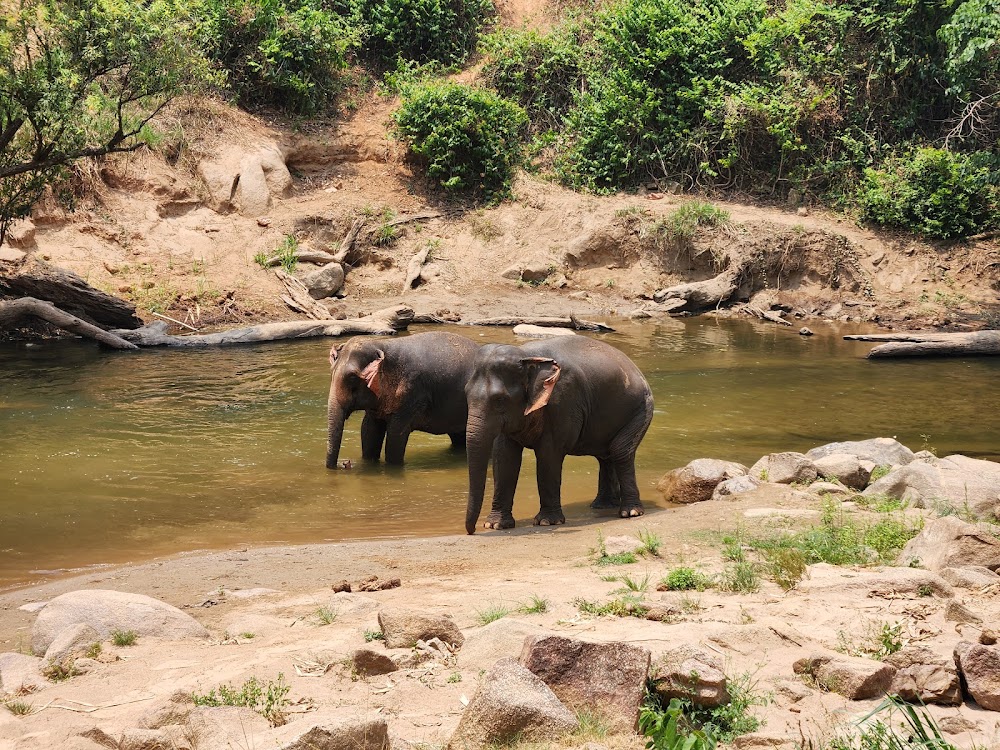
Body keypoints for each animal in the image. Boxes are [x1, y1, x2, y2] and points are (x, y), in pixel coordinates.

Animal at [324, 332, 480, 468]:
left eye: (352, 377)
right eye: (332, 372)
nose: (345, 464)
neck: (382, 345)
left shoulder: (412, 394)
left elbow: (395, 435)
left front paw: (392, 468)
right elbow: (368, 430)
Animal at [462, 334, 652, 536]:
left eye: (500, 399)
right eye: (465, 393)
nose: (471, 531)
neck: (527, 355)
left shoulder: (562, 402)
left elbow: (548, 455)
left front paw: (547, 522)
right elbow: (504, 458)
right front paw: (495, 525)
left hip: (641, 409)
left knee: (620, 451)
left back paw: (630, 512)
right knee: (605, 456)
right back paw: (601, 506)